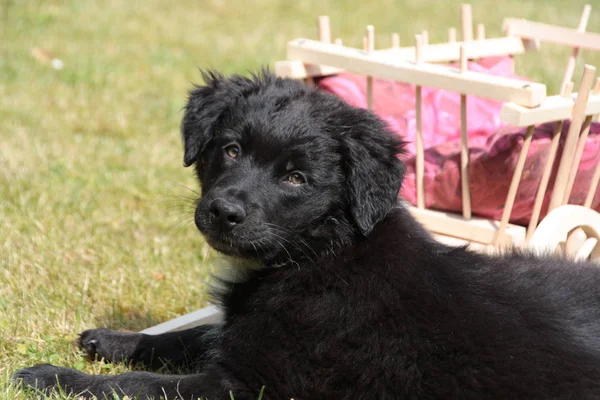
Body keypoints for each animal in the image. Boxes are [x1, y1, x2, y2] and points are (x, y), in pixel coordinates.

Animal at [12, 70, 600, 398]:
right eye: (231, 150)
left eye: (296, 178)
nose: (223, 212)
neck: (319, 254)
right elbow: (197, 333)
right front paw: (117, 340)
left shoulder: (248, 385)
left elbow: (141, 385)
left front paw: (51, 378)